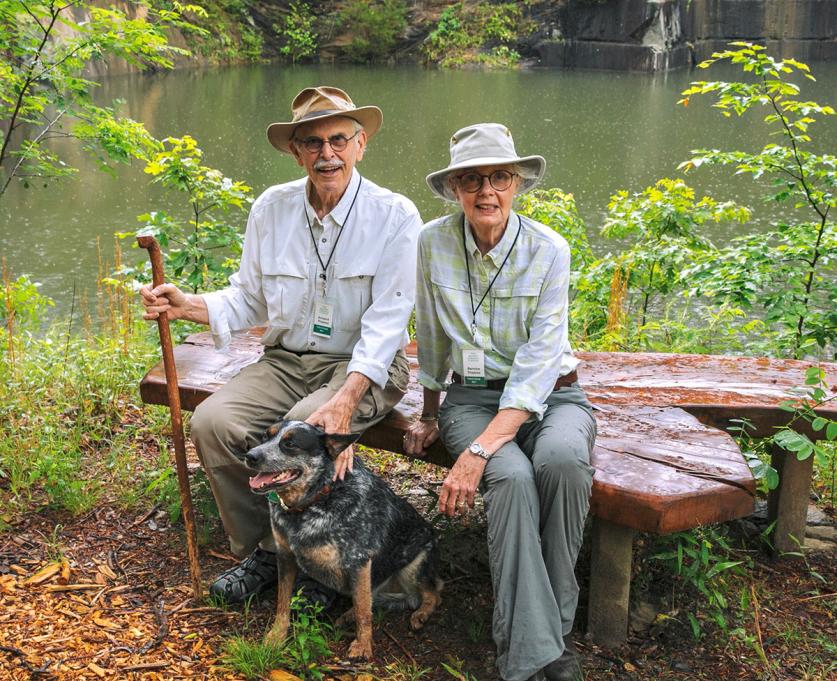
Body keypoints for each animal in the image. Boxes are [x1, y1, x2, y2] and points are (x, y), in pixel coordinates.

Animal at [242, 420, 440, 660]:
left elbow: (364, 610)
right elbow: (282, 602)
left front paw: (363, 646)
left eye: (290, 444)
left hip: (413, 566)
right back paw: (349, 615)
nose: (249, 456)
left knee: (431, 593)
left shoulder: (358, 562)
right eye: (265, 436)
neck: (314, 503)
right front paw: (276, 635)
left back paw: (421, 613)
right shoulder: (285, 555)